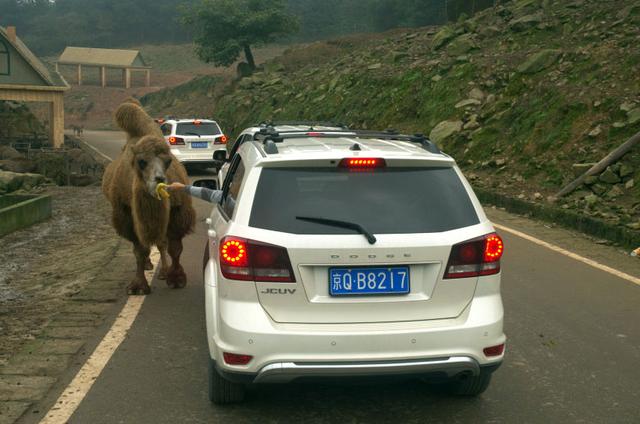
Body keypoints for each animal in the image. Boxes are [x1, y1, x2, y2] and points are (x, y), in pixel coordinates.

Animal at [101, 99, 196, 294]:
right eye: (141, 162)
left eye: (168, 160)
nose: (159, 179)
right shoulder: (128, 214)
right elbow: (140, 250)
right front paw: (138, 286)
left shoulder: (177, 211)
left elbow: (174, 248)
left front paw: (176, 278)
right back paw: (148, 265)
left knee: (162, 243)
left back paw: (163, 271)